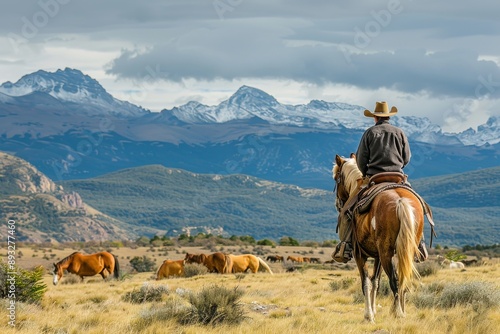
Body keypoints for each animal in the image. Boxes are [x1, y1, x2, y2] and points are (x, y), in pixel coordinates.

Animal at [334, 155, 424, 322]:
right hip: (401, 251)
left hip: (386, 252)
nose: (338, 204)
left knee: (395, 280)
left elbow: (366, 283)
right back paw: (401, 311)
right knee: (403, 278)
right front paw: (374, 311)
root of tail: (400, 200)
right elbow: (375, 282)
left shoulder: (360, 254)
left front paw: (369, 315)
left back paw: (398, 313)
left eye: (337, 178)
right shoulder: (378, 257)